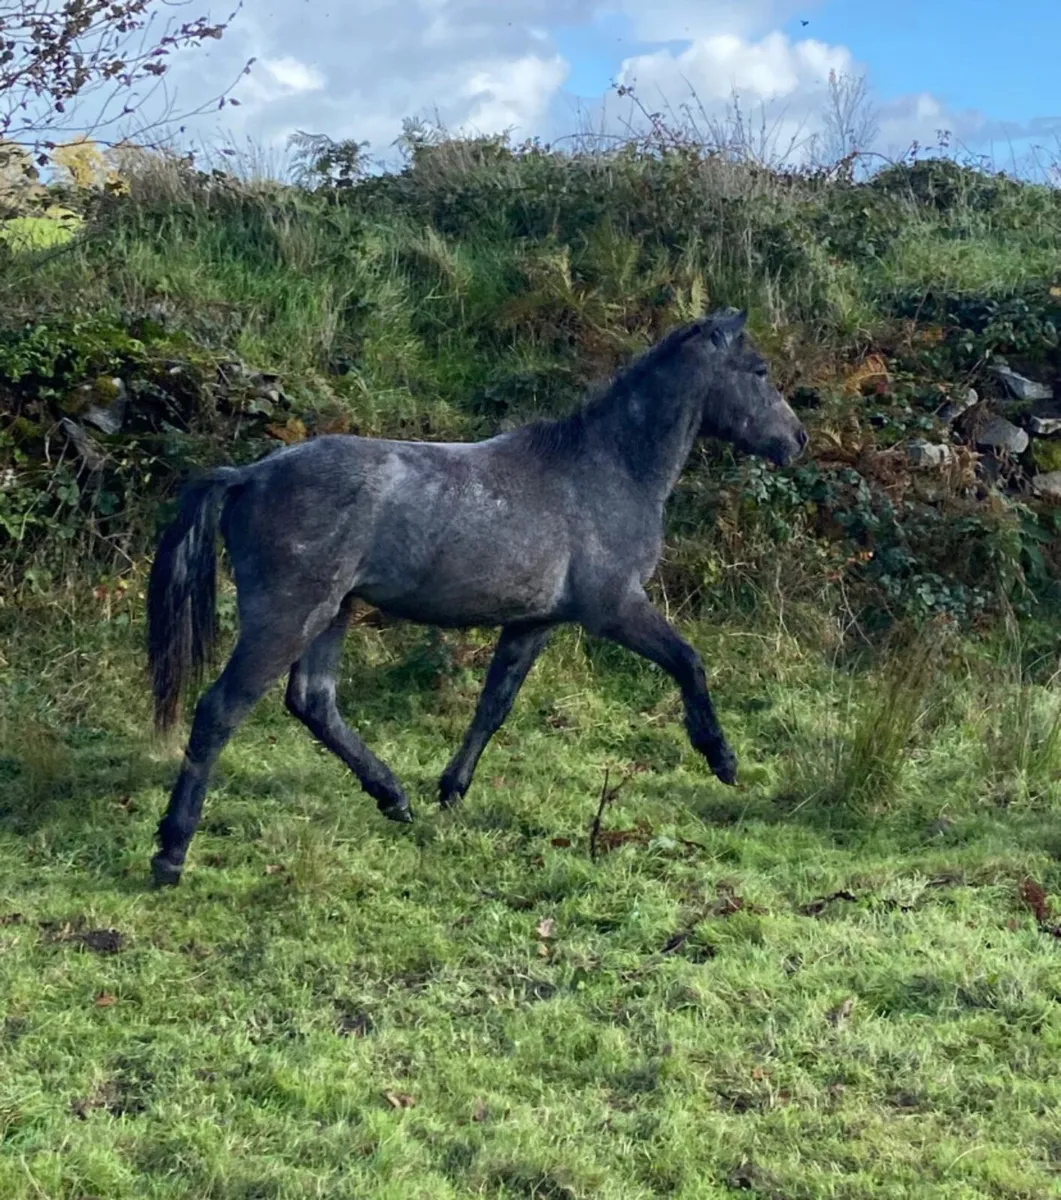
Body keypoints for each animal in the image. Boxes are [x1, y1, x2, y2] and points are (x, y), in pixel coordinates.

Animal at [146, 308, 808, 885]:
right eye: (759, 371)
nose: (796, 439)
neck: (608, 468)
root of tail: (247, 476)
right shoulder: (615, 609)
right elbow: (689, 663)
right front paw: (720, 758)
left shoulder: (534, 622)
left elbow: (494, 705)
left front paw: (452, 790)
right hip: (288, 618)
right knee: (221, 710)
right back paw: (172, 852)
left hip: (333, 613)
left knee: (314, 702)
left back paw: (394, 798)